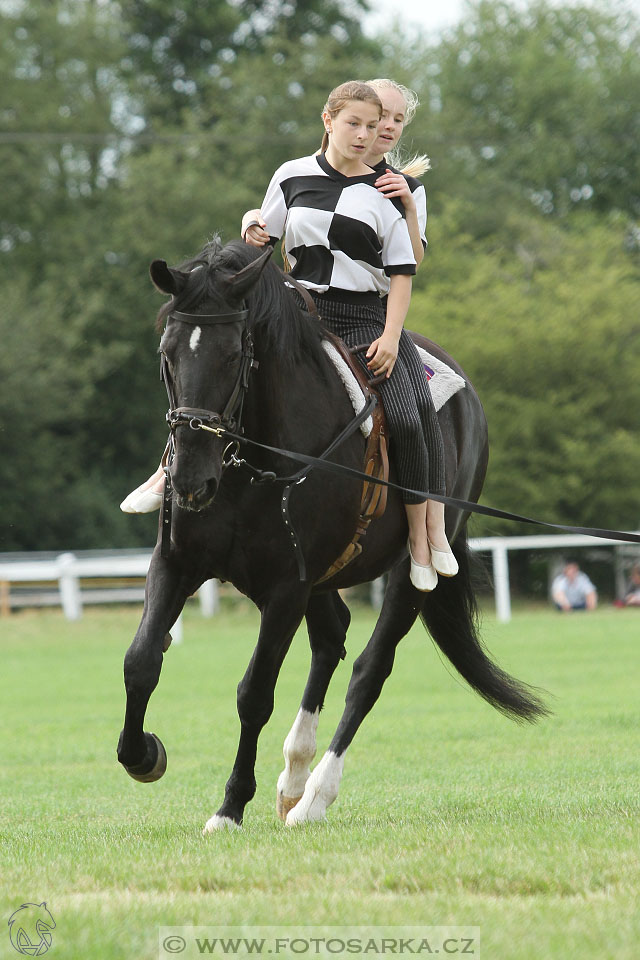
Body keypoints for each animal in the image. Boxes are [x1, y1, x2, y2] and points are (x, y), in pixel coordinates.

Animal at [117, 236, 548, 828]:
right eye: (168, 354)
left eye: (232, 356)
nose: (188, 481)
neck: (251, 462)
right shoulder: (178, 562)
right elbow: (141, 662)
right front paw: (143, 756)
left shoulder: (286, 588)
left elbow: (254, 694)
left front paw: (230, 806)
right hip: (321, 576)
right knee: (331, 638)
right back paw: (294, 776)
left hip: (403, 575)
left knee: (369, 670)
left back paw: (315, 794)